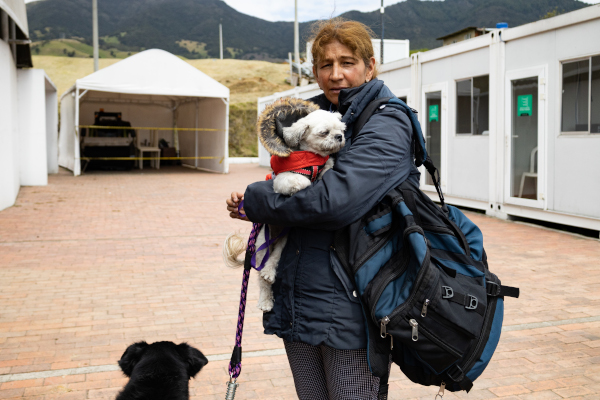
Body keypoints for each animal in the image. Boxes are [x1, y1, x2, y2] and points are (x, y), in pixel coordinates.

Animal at [224, 98, 346, 310]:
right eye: (324, 132)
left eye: (341, 130)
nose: (339, 137)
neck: (311, 157)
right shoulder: (281, 180)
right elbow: (299, 180)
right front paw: (305, 183)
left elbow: (327, 167)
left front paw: (324, 170)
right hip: (261, 244)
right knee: (262, 280)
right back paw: (265, 299)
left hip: (283, 240)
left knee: (274, 260)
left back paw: (270, 272)